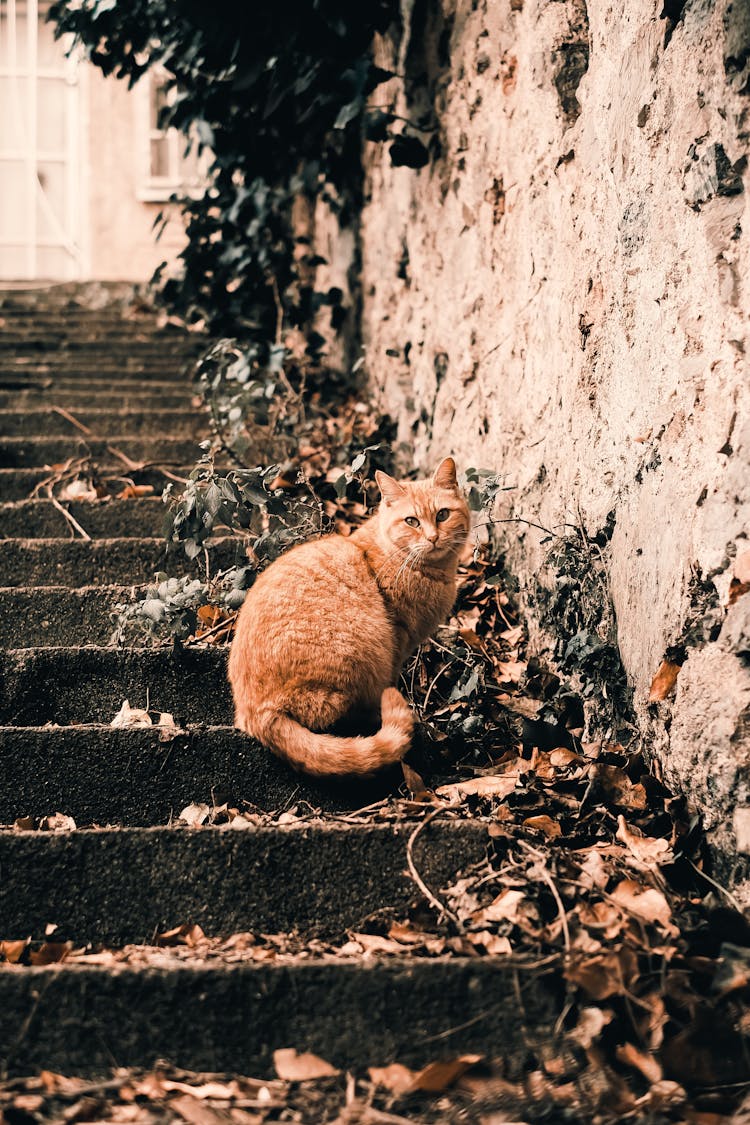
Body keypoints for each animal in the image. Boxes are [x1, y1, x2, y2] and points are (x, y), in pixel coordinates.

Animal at [230, 456, 470, 774]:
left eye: (443, 515)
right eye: (412, 521)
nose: (433, 538)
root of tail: (257, 713)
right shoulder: (398, 640)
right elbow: (393, 678)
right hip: (363, 655)